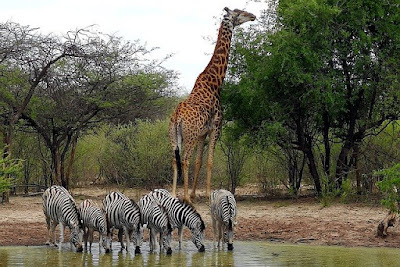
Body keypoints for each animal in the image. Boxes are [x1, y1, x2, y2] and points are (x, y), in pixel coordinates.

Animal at [169, 7, 256, 202]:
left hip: (173, 137)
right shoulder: (216, 127)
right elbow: (209, 161)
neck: (215, 83)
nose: (253, 16)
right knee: (184, 159)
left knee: (174, 160)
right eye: (239, 13)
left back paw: (173, 194)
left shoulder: (203, 133)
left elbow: (199, 161)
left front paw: (194, 193)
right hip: (190, 136)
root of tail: (177, 116)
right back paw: (185, 198)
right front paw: (207, 194)